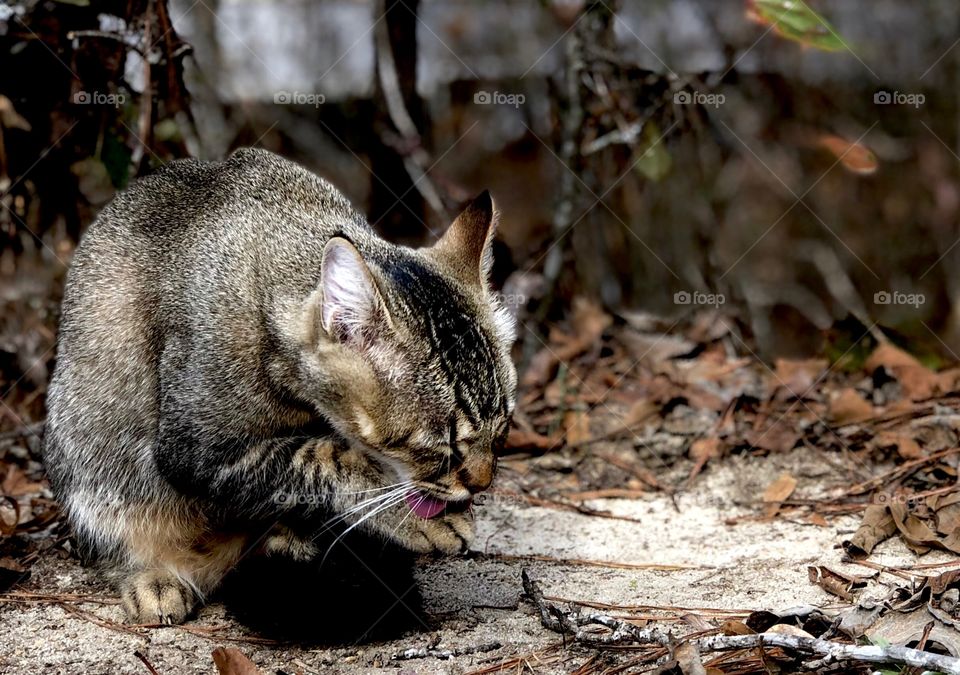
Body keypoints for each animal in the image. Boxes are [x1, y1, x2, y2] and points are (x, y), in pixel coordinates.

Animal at [43, 148, 516, 624]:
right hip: (88, 464)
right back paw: (152, 577)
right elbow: (332, 457)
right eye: (439, 445)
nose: (482, 483)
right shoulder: (197, 451)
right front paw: (414, 514)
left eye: (503, 427)